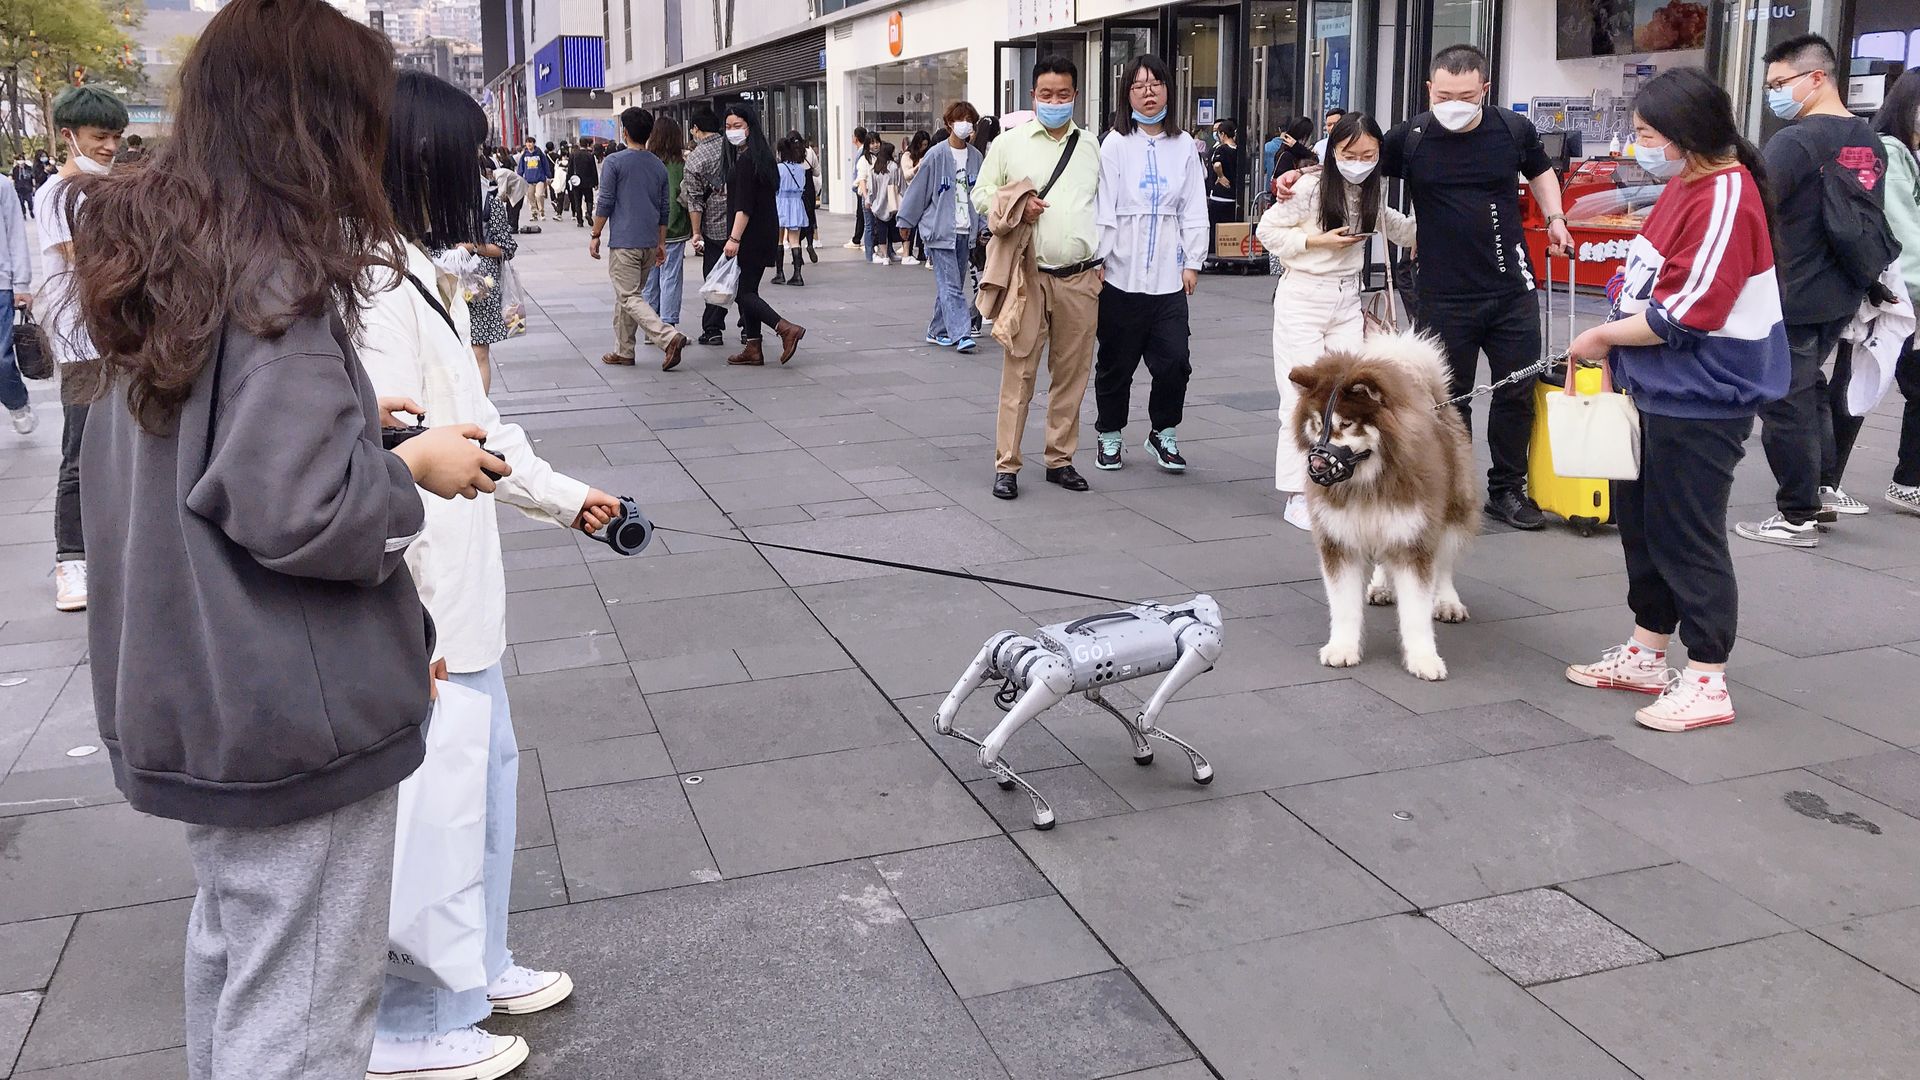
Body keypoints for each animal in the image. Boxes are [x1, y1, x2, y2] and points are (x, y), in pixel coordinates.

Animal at [936, 591, 1221, 826]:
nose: (1212, 614)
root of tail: (1019, 654)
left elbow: (1096, 696)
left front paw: (1143, 749)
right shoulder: (1201, 644)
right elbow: (1146, 717)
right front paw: (1201, 767)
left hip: (998, 649)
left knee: (944, 722)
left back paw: (1005, 774)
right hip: (1053, 677)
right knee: (988, 748)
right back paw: (1041, 810)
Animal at [1290, 332, 1482, 676]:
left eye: (1346, 424)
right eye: (1316, 424)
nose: (1318, 465)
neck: (1367, 484)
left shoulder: (1413, 539)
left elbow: (1416, 613)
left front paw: (1424, 658)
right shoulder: (1339, 541)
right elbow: (1344, 607)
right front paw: (1342, 648)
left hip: (1451, 510)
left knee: (1444, 562)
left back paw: (1446, 600)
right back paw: (1381, 587)